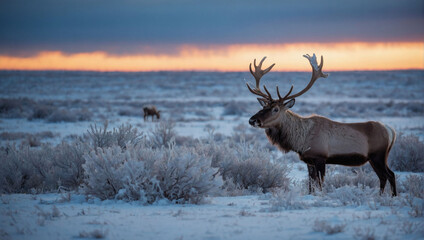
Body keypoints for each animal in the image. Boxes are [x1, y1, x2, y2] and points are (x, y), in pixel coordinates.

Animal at [245, 53, 398, 196]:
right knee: (386, 176)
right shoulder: (309, 161)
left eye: (276, 109)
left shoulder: (320, 158)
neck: (300, 140)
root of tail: (390, 131)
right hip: (377, 157)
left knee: (388, 175)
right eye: (263, 106)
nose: (252, 120)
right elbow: (310, 185)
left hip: (378, 155)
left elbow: (319, 184)